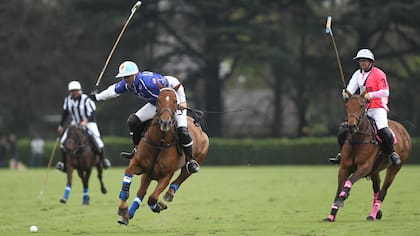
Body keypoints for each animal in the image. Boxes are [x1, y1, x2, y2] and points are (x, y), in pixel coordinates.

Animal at [116, 85, 208, 225]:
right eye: (158, 100)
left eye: (175, 101)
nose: (165, 122)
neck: (159, 143)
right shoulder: (138, 165)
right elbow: (128, 182)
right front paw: (122, 209)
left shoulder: (166, 175)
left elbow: (153, 198)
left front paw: (159, 205)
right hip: (148, 174)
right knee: (141, 192)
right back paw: (128, 215)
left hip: (196, 160)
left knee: (183, 175)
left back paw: (169, 194)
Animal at [324, 93, 410, 221]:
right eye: (347, 106)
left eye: (361, 106)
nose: (351, 126)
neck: (358, 139)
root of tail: (403, 130)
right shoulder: (344, 168)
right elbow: (339, 188)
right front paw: (331, 216)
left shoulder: (364, 167)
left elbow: (349, 181)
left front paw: (342, 198)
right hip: (375, 170)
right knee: (377, 189)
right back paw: (377, 213)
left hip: (393, 169)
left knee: (383, 192)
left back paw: (372, 215)